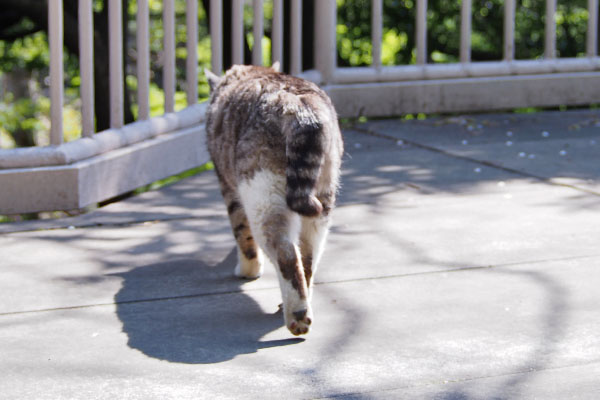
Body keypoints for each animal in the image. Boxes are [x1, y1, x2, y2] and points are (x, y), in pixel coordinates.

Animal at [206, 65, 344, 334]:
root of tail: (299, 106)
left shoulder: (229, 189)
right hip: (323, 197)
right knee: (307, 256)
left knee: (286, 252)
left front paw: (248, 271)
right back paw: (300, 302)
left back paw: (297, 316)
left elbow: (243, 236)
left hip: (263, 196)